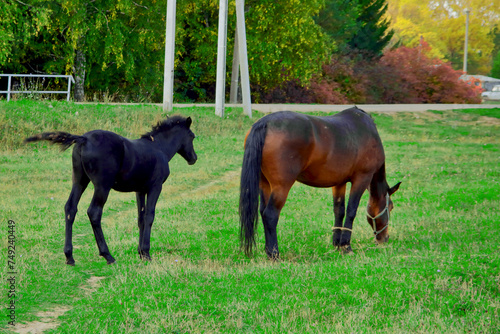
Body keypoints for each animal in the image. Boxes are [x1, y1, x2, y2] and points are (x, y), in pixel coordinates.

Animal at [240, 107, 400, 258]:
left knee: (262, 211)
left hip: (264, 184)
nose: (385, 238)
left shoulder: (339, 182)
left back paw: (268, 251)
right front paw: (346, 246)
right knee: (270, 215)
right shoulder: (362, 178)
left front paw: (337, 244)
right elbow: (351, 211)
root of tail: (265, 123)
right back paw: (274, 254)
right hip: (281, 187)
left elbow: (339, 211)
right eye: (391, 207)